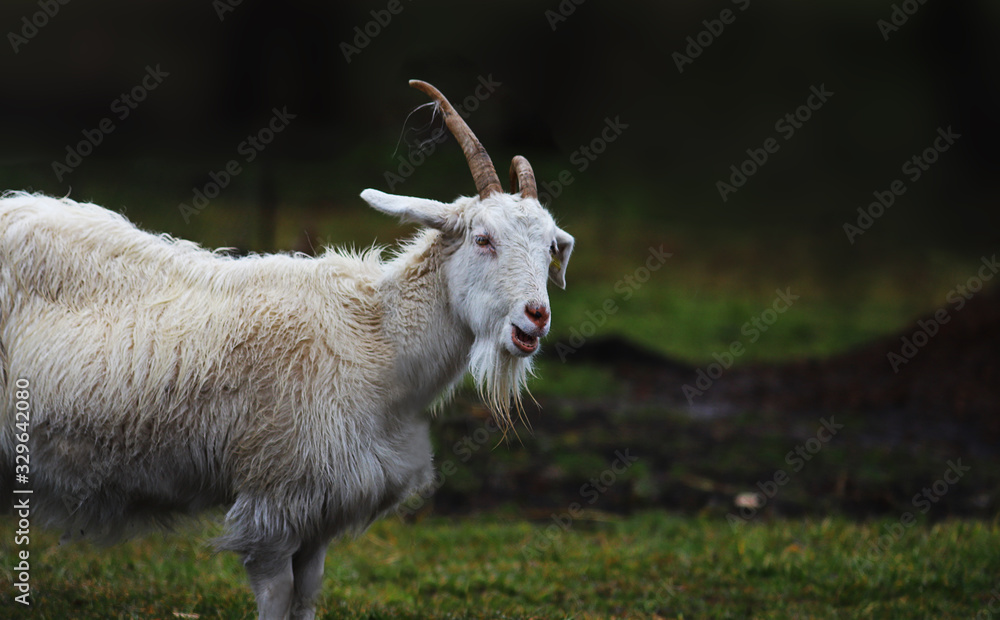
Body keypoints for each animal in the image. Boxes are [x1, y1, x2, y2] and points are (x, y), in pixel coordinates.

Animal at [0, 80, 573, 619]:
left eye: (550, 247)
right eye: (482, 238)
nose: (535, 317)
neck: (377, 343)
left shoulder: (321, 509)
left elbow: (307, 595)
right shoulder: (273, 500)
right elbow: (277, 598)